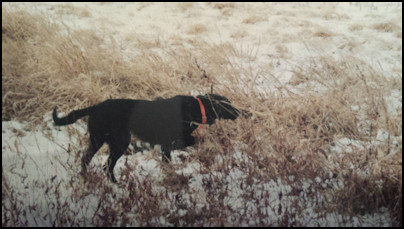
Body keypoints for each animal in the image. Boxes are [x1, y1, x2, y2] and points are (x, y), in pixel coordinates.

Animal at [51, 94, 238, 182]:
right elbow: (193, 140)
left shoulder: (165, 146)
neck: (195, 108)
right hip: (119, 142)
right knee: (106, 164)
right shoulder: (171, 141)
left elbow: (166, 161)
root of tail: (95, 107)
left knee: (90, 160)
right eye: (228, 104)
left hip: (100, 140)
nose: (239, 112)